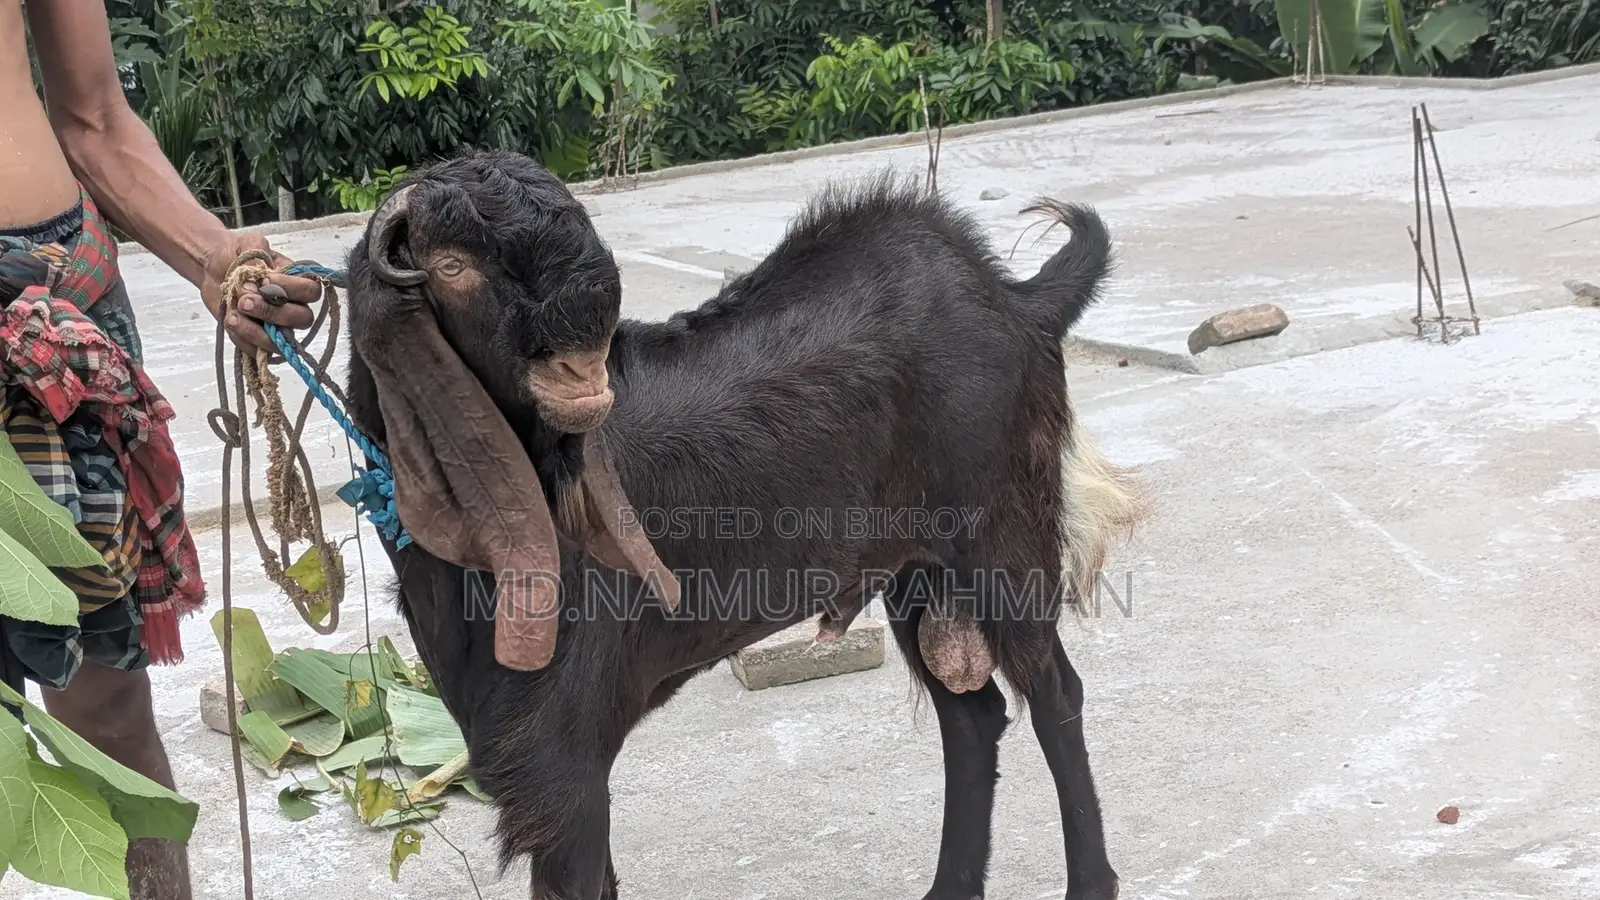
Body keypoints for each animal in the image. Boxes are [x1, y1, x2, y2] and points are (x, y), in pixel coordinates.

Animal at [343, 149, 1143, 900]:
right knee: (972, 714)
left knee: (1054, 695)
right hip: (914, 568)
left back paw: (1089, 882)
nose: (582, 364)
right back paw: (949, 886)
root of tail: (1013, 299)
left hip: (1003, 531)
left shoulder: (560, 752)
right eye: (451, 266)